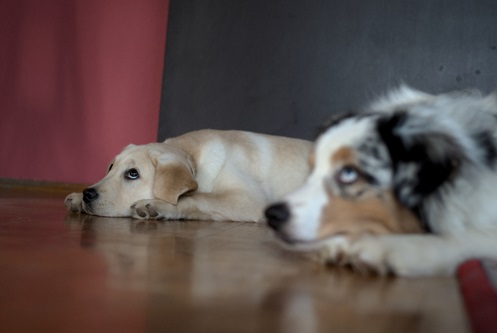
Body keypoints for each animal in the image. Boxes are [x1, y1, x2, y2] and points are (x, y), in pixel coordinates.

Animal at [65, 129, 310, 220]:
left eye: (133, 174)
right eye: (110, 167)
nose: (88, 194)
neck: (191, 157)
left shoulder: (250, 200)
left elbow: (195, 197)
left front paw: (155, 205)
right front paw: (76, 198)